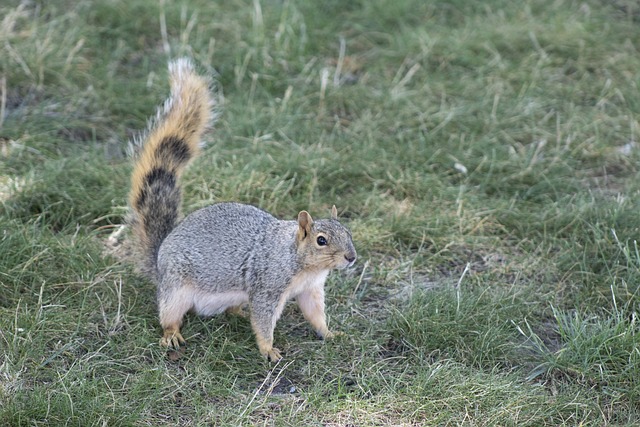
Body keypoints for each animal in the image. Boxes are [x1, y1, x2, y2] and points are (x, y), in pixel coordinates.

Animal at [127, 58, 358, 362]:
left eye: (348, 232)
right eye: (321, 240)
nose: (351, 257)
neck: (302, 263)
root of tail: (159, 261)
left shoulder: (310, 289)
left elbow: (315, 315)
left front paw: (330, 333)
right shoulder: (267, 287)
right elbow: (263, 320)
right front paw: (269, 350)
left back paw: (238, 312)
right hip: (175, 291)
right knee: (169, 315)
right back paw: (172, 334)